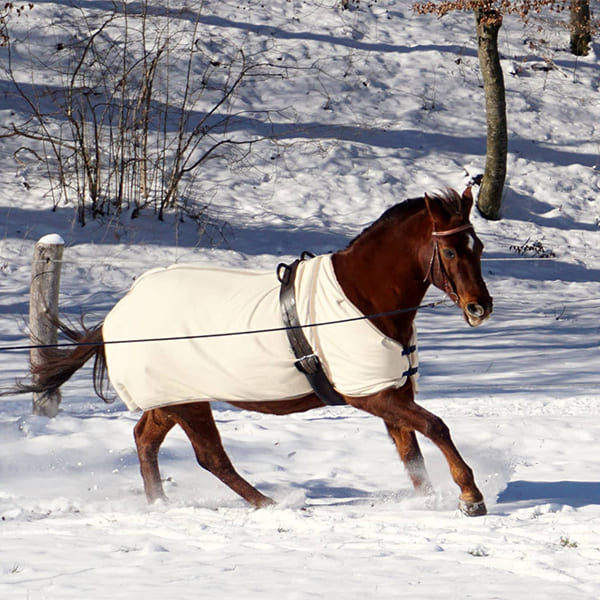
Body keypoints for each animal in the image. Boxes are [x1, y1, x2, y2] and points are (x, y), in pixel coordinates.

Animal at [22, 186, 492, 516]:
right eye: (450, 250)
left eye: (480, 247)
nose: (480, 307)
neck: (361, 298)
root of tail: (117, 315)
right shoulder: (370, 394)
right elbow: (436, 428)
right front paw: (470, 495)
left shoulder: (392, 392)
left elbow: (411, 453)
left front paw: (428, 500)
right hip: (189, 402)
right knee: (210, 457)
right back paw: (269, 503)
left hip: (173, 399)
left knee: (146, 440)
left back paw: (160, 505)